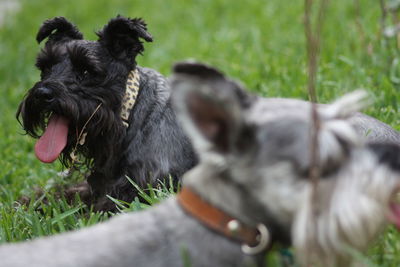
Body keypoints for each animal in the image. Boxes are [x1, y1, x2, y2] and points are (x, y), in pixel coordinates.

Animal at [17, 15, 198, 210]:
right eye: (46, 67)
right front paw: (32, 201)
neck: (131, 118)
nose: (42, 94)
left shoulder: (137, 192)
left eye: (86, 71)